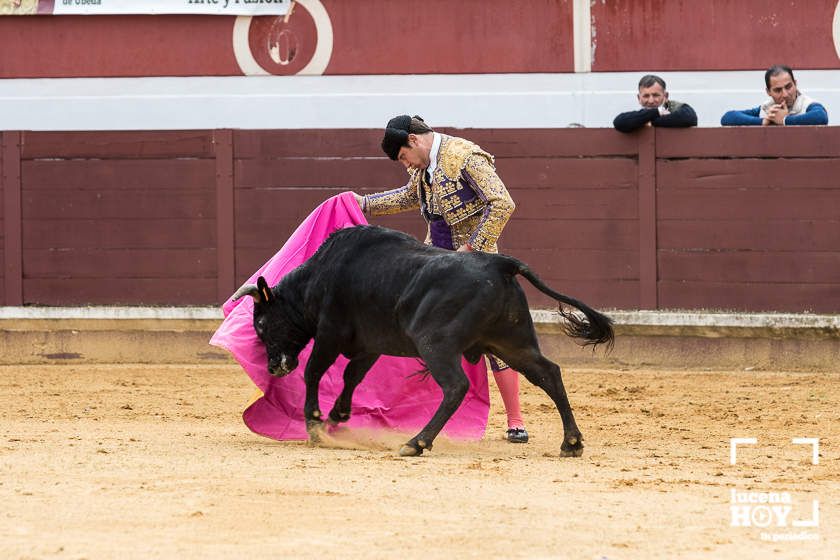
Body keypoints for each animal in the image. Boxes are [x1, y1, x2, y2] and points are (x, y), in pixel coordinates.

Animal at [233, 225, 612, 458]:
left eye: (262, 324)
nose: (274, 366)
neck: (318, 279)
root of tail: (500, 264)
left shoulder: (330, 333)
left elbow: (314, 371)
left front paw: (314, 423)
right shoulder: (370, 344)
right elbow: (352, 377)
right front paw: (334, 418)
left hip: (435, 343)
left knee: (456, 386)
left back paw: (416, 442)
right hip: (512, 341)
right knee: (548, 373)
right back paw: (571, 442)